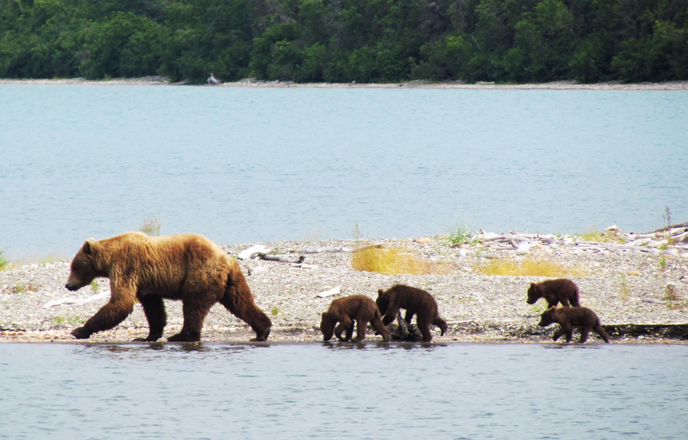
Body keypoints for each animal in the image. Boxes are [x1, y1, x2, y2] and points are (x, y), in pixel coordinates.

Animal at [65, 232, 272, 342]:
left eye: (74, 266)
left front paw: (79, 330)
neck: (108, 260)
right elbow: (153, 308)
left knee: (193, 306)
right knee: (242, 302)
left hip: (200, 274)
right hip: (232, 280)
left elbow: (121, 302)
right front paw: (148, 336)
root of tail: (227, 259)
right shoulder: (144, 282)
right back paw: (263, 331)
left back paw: (182, 336)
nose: (68, 285)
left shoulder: (125, 267)